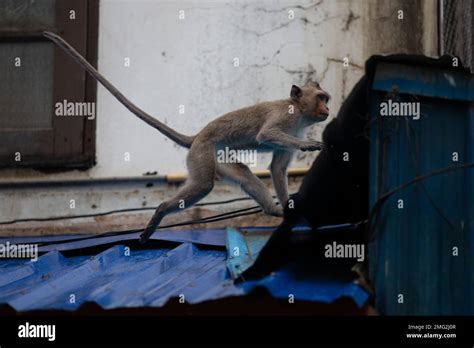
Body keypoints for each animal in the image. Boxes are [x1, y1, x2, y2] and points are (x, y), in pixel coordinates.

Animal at [44, 33, 330, 245]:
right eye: (321, 98)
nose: (327, 108)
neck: (300, 115)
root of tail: (196, 137)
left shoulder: (296, 128)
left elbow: (278, 168)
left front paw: (289, 209)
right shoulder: (284, 118)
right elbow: (267, 134)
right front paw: (308, 145)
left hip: (218, 157)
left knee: (244, 176)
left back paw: (272, 211)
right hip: (202, 153)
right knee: (203, 184)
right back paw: (160, 211)